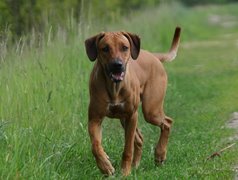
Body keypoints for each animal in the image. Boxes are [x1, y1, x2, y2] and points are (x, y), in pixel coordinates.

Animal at [84, 26, 181, 176]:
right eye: (105, 48)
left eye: (125, 47)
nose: (117, 65)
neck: (115, 87)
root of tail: (154, 56)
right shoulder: (94, 119)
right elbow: (95, 146)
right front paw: (105, 166)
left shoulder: (132, 115)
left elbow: (128, 147)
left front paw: (125, 172)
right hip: (125, 119)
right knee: (140, 138)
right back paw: (136, 165)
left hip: (150, 110)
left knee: (167, 122)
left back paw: (159, 155)